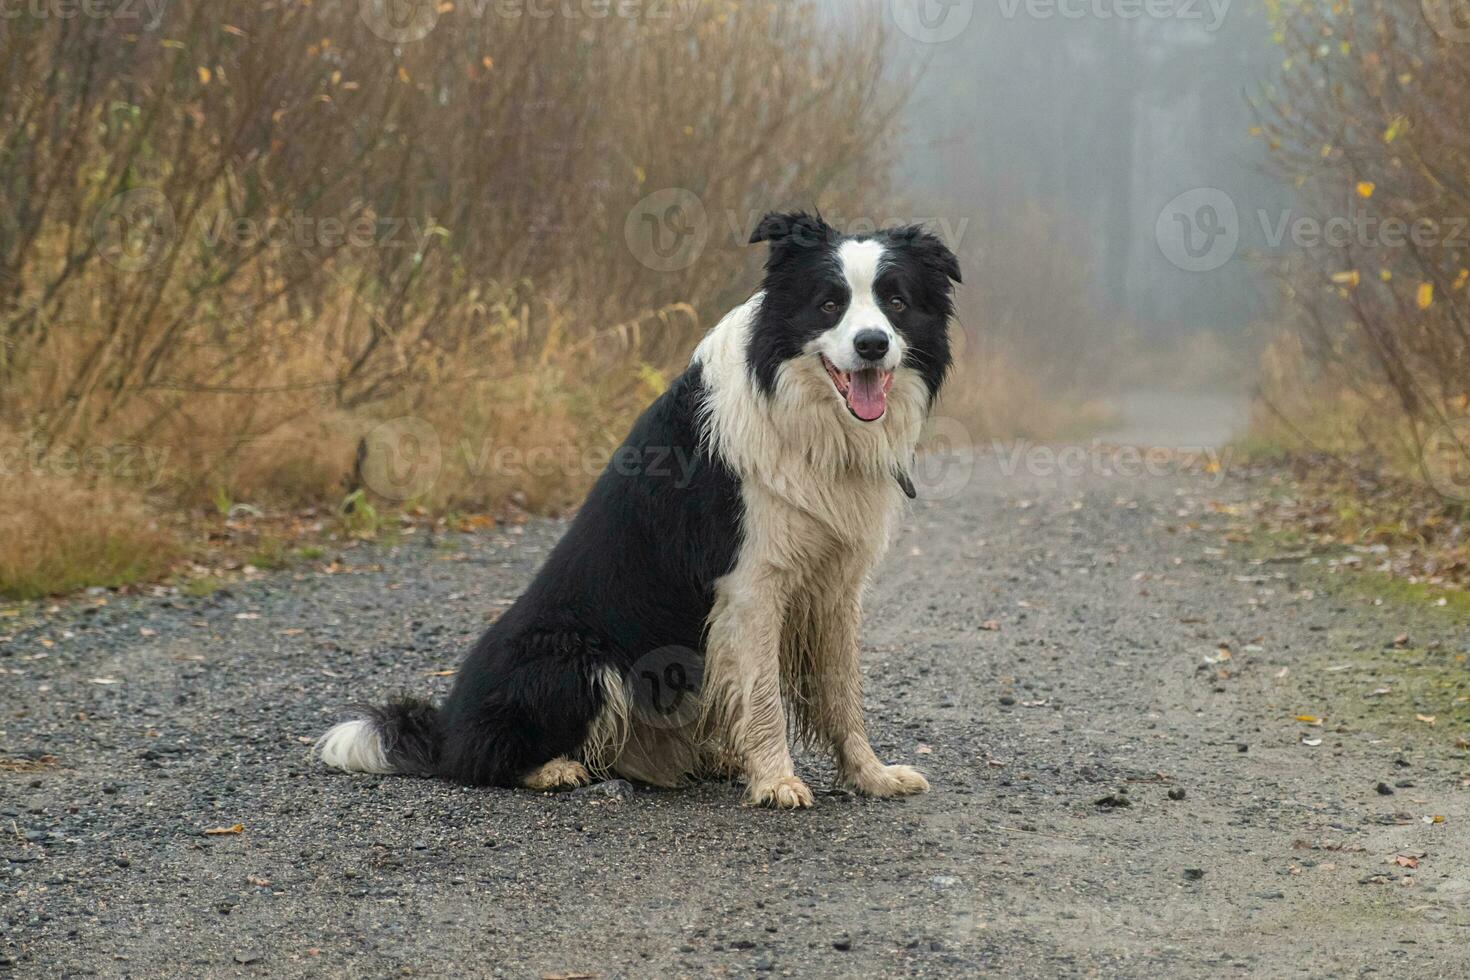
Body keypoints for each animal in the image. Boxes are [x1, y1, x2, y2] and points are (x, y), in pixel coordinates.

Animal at [316, 211, 958, 811]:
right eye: (829, 304)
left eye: (895, 302)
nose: (872, 345)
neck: (801, 409)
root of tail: (444, 727)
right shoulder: (751, 582)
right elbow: (765, 699)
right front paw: (777, 782)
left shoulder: (835, 584)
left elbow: (843, 694)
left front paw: (871, 776)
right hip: (577, 658)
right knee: (483, 757)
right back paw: (554, 769)